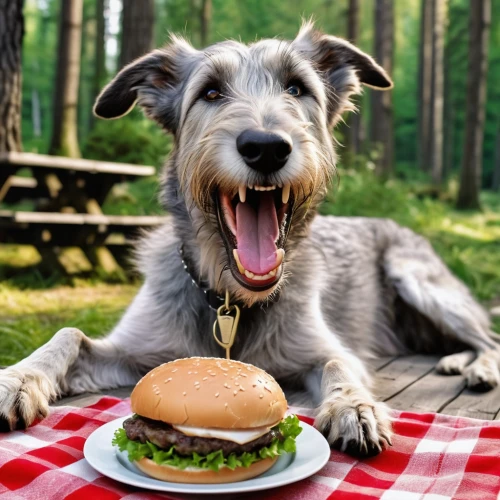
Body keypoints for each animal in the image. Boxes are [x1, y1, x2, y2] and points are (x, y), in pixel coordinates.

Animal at [0, 23, 500, 458]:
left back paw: (476, 366)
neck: (229, 297)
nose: (266, 147)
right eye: (210, 92)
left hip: (415, 277)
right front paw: (16, 379)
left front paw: (352, 406)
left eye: (297, 88)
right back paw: (456, 360)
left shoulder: (321, 348)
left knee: (488, 338)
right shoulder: (137, 352)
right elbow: (70, 334)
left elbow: (337, 362)